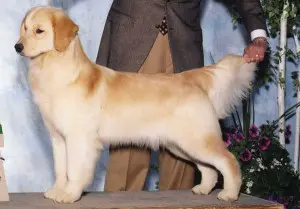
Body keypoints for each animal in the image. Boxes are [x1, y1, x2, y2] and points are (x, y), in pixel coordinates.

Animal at [15, 6, 256, 202]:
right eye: (24, 28)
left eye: (39, 31)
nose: (17, 47)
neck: (54, 69)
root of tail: (190, 77)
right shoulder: (58, 138)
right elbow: (60, 169)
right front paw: (57, 191)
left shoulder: (79, 138)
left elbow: (74, 170)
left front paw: (70, 195)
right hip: (181, 145)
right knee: (209, 168)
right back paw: (203, 189)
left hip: (198, 139)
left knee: (228, 161)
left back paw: (230, 193)